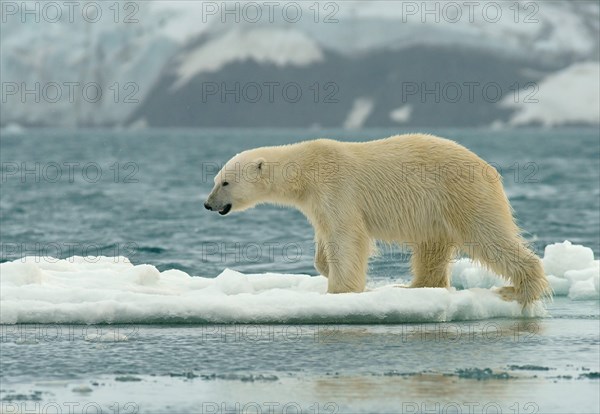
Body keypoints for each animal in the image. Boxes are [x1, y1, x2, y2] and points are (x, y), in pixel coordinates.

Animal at [204, 134, 552, 306]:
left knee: (488, 236)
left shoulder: (336, 186)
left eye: (225, 182)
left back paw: (518, 290)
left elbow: (347, 237)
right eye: (216, 179)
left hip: (462, 194)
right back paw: (416, 286)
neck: (306, 168)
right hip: (436, 210)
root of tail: (490, 169)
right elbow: (325, 236)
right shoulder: (318, 201)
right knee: (432, 247)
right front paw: (328, 269)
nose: (208, 204)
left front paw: (341, 290)